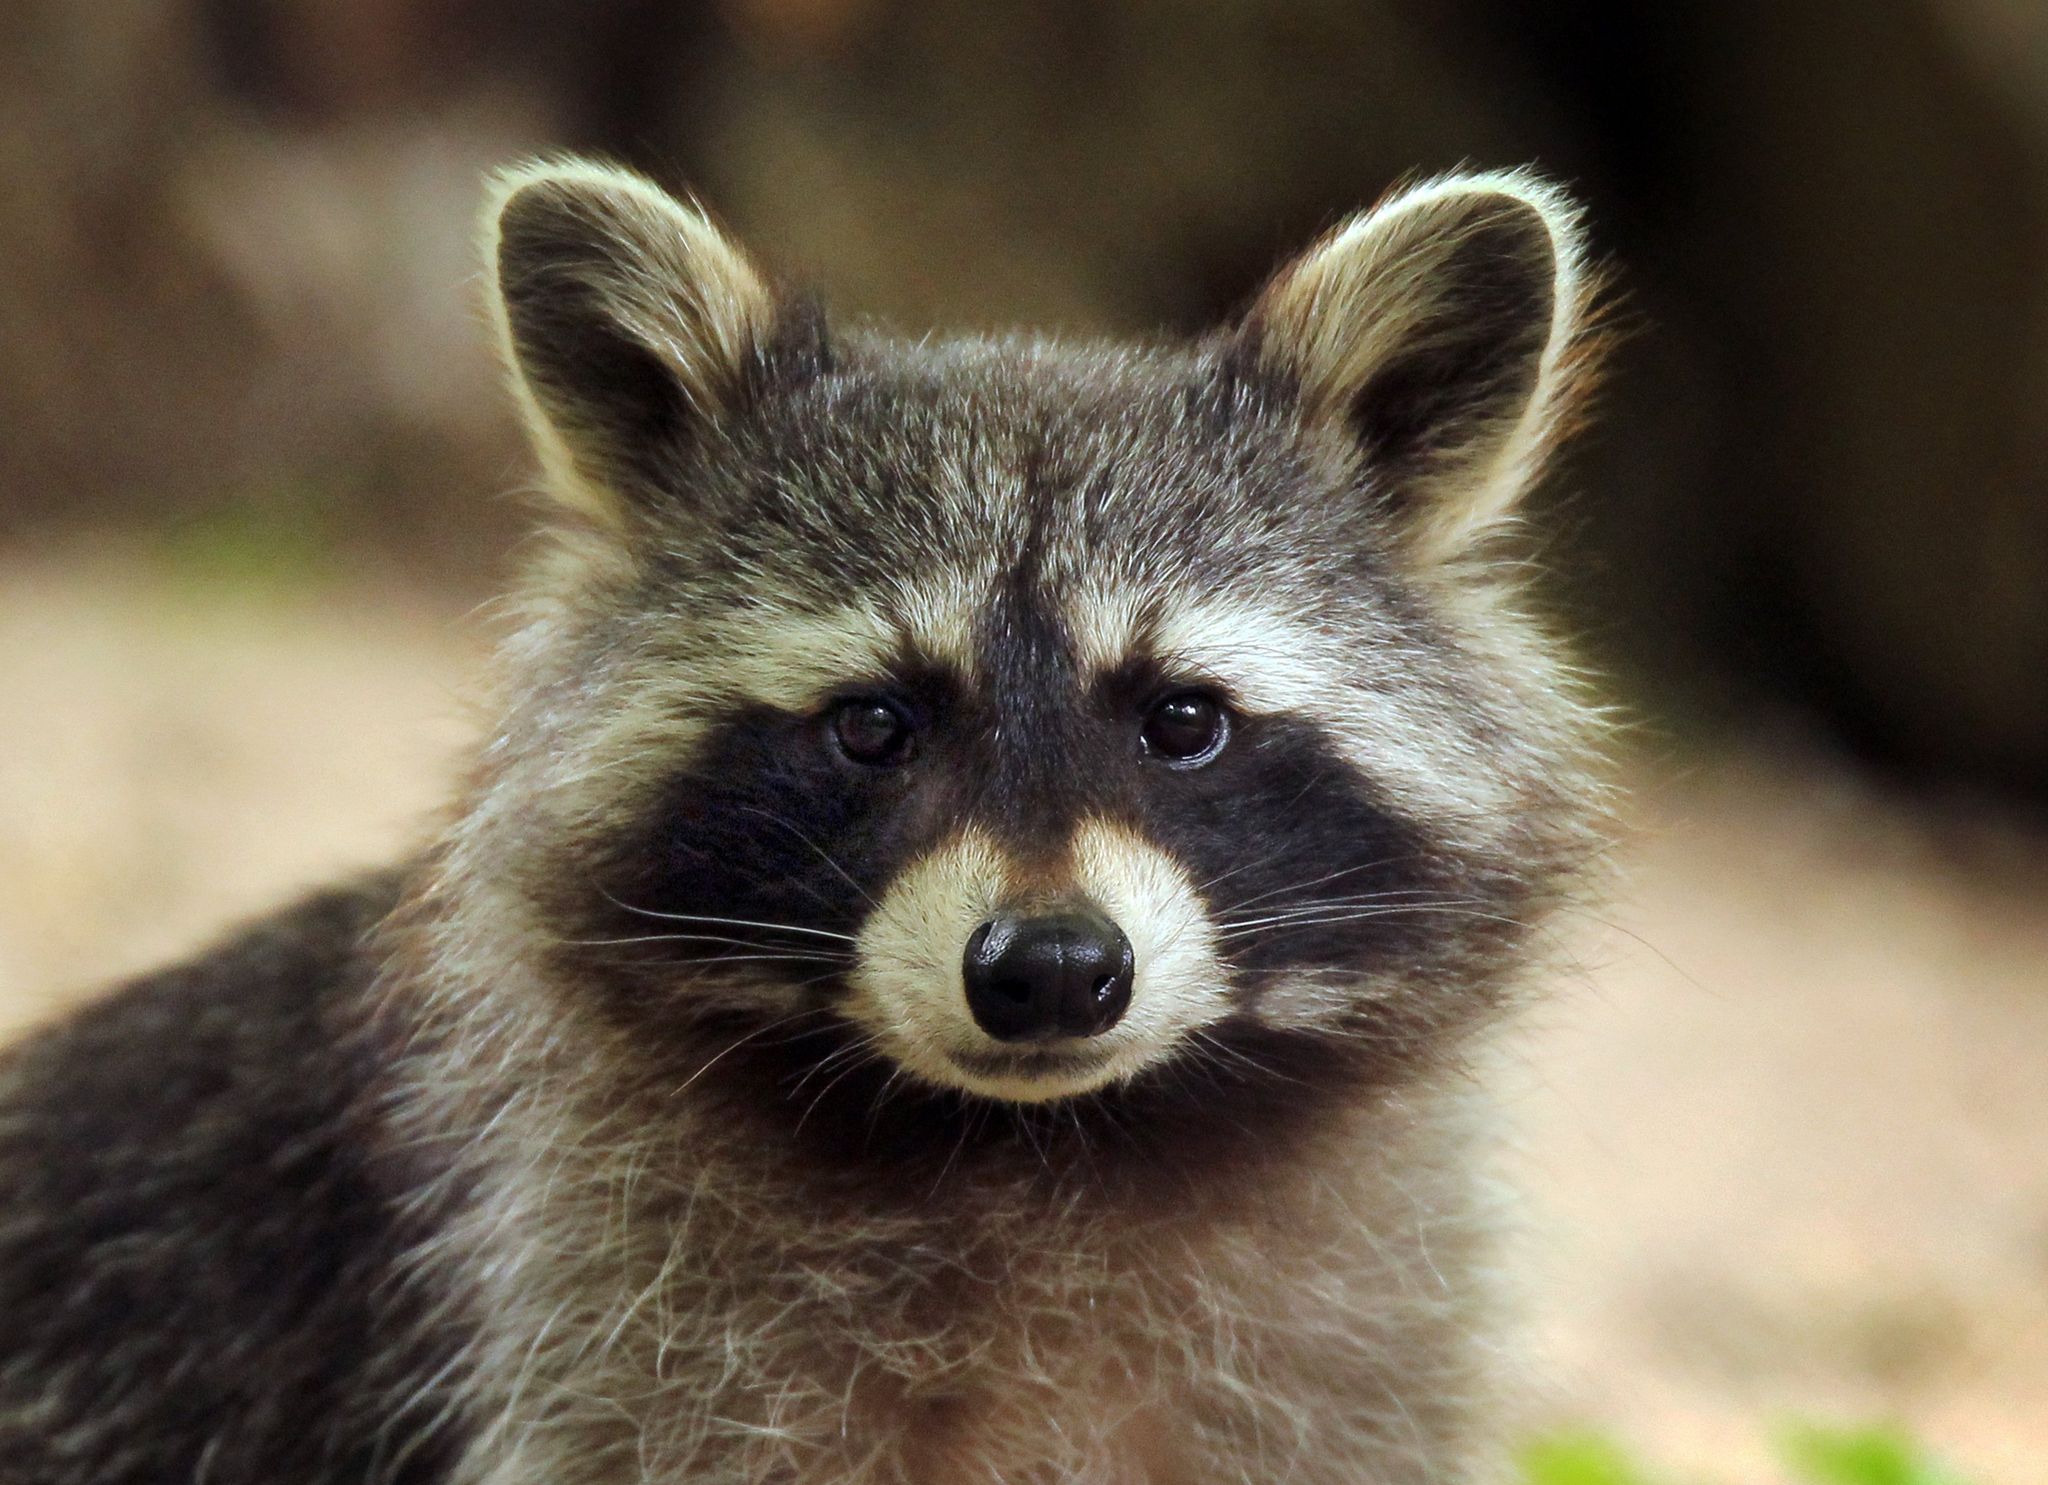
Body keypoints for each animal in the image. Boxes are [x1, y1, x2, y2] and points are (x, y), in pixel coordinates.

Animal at [0, 156, 1605, 1474]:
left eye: (1182, 721)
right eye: (874, 724)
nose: (1049, 972)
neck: (1034, 1151)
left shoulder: (1352, 1348)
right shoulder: (593, 1322)